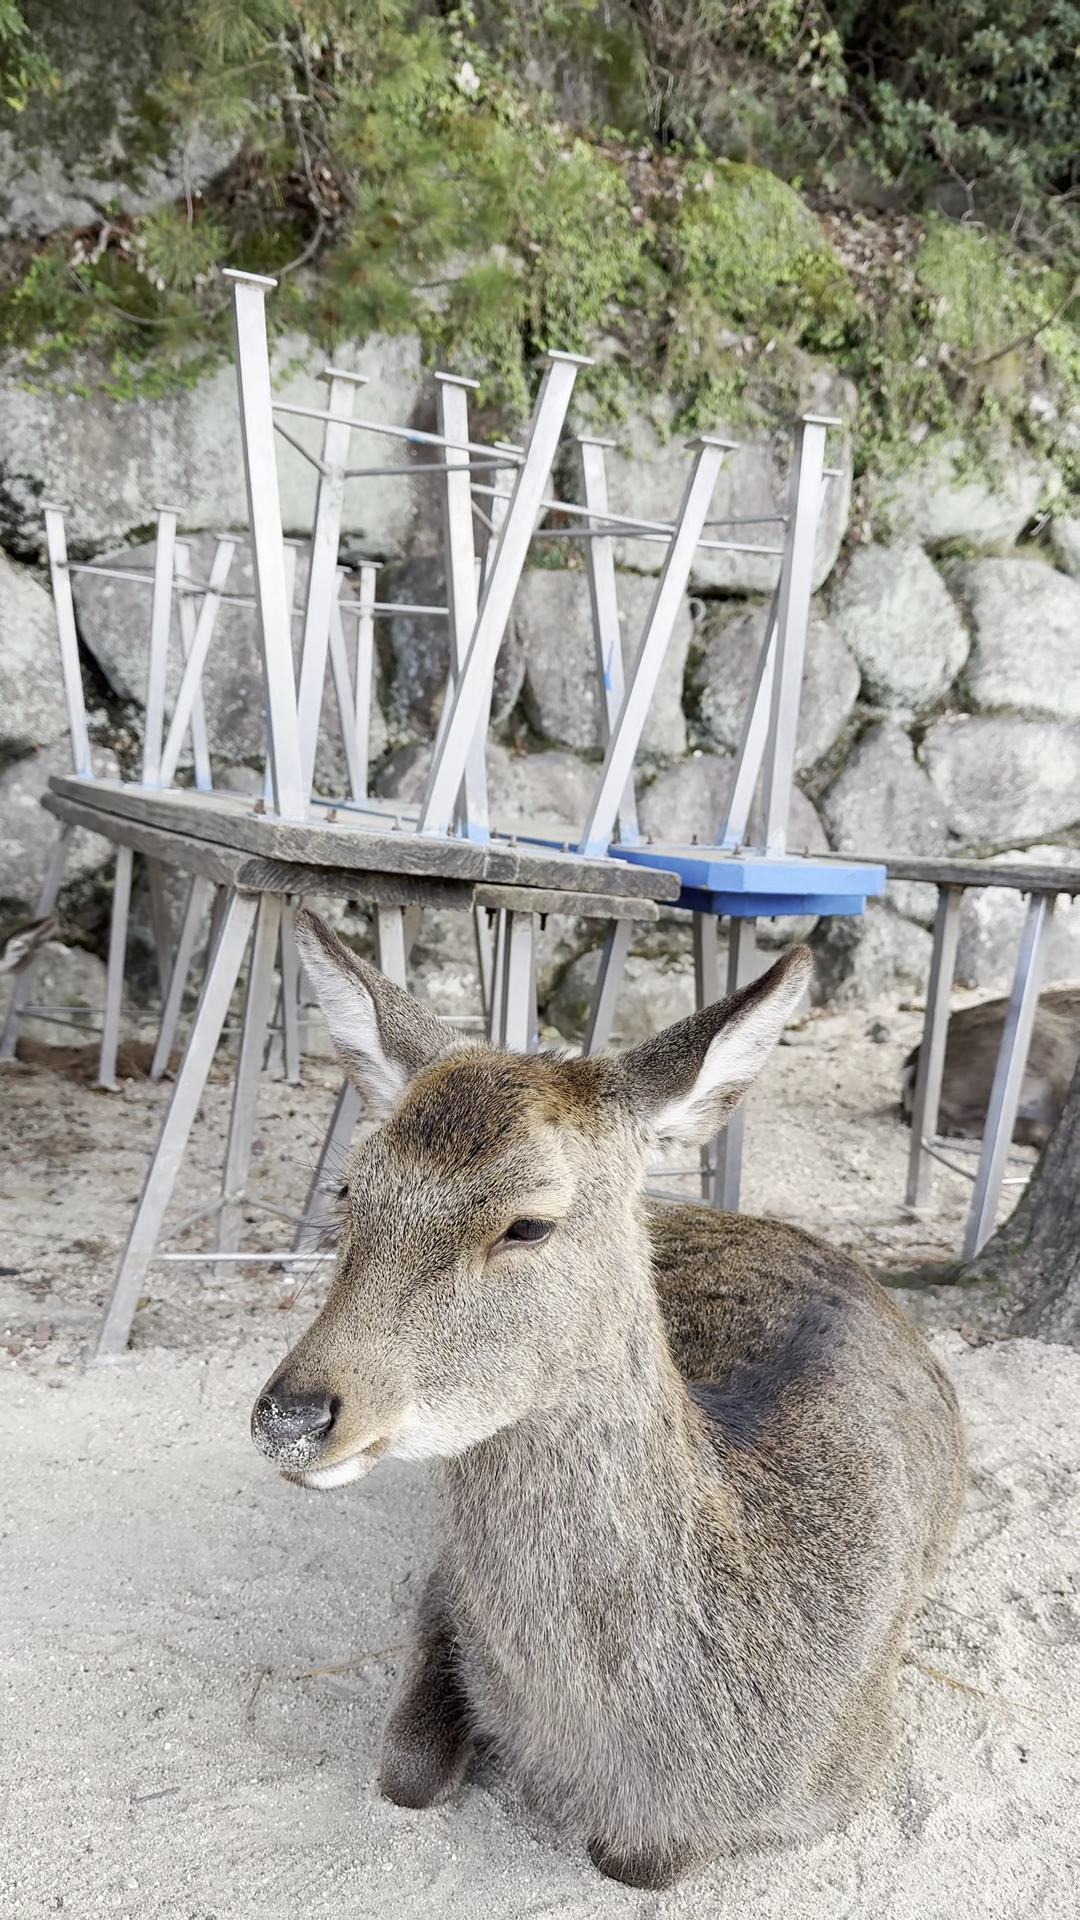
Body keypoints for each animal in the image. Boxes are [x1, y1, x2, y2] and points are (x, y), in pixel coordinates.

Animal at [252, 909, 965, 1891]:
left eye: (528, 1223)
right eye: (352, 1189)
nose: (291, 1415)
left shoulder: (846, 1766)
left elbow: (638, 1860)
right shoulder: (449, 1588)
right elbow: (405, 1771)